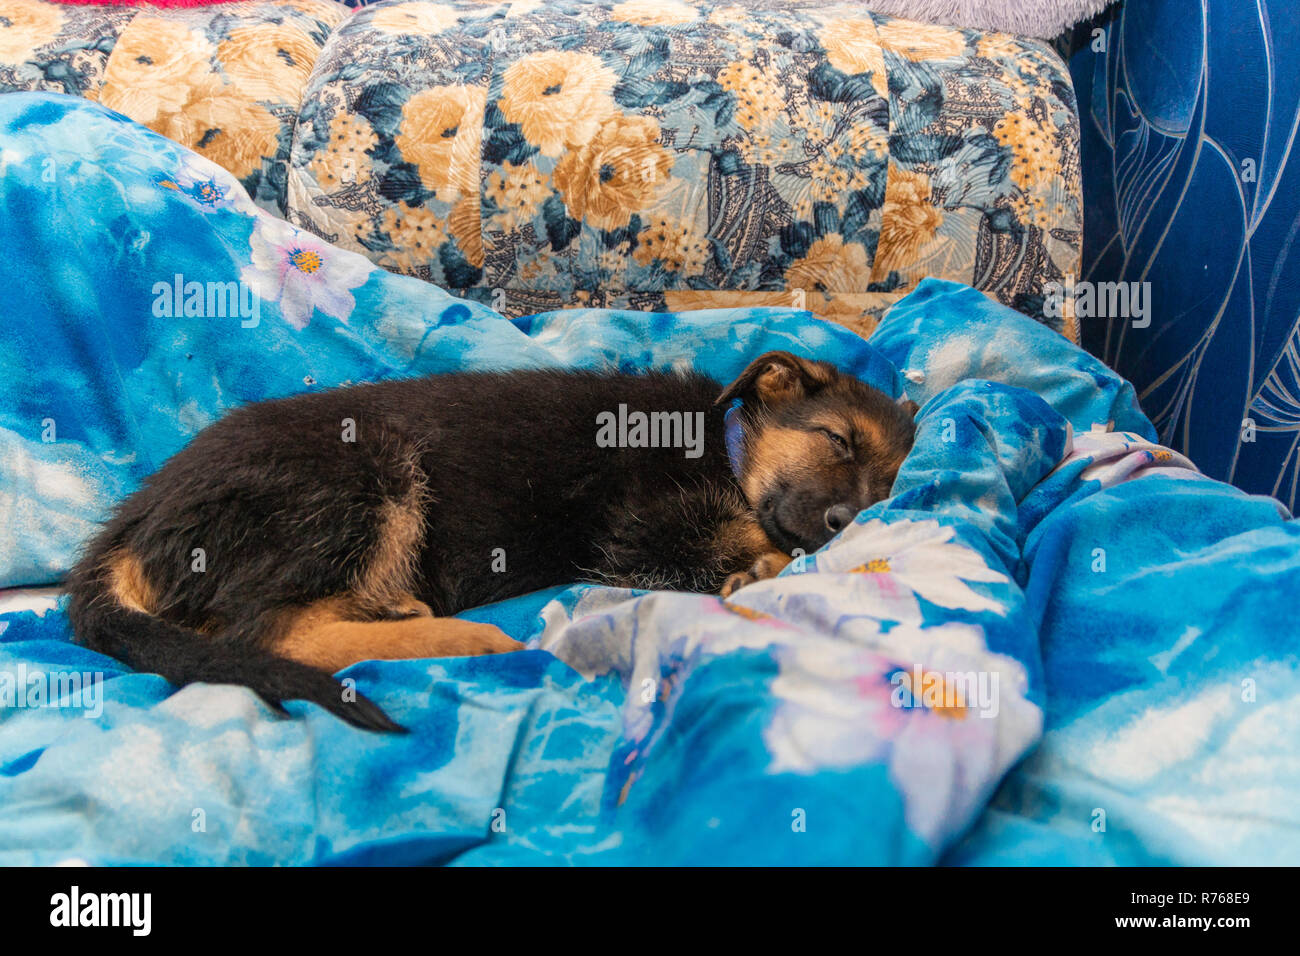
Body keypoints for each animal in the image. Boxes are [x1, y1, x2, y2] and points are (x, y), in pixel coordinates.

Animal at [63, 351, 915, 733]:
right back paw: (466, 637)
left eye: (892, 486)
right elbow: (728, 537)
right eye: (836, 439)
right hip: (362, 468)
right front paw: (759, 563)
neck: (730, 447)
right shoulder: (638, 529)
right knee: (269, 633)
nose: (847, 523)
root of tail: (129, 526)